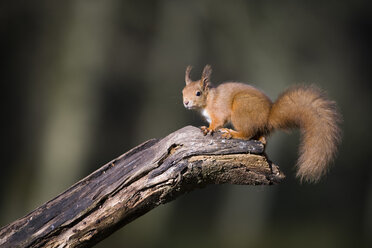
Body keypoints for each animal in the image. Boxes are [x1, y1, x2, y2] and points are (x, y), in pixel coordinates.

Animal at [182, 65, 342, 183]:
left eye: (198, 93)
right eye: (183, 91)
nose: (186, 102)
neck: (208, 100)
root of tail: (268, 118)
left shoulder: (219, 111)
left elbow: (218, 122)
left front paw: (209, 129)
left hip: (241, 107)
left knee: (246, 134)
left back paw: (232, 133)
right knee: (261, 138)